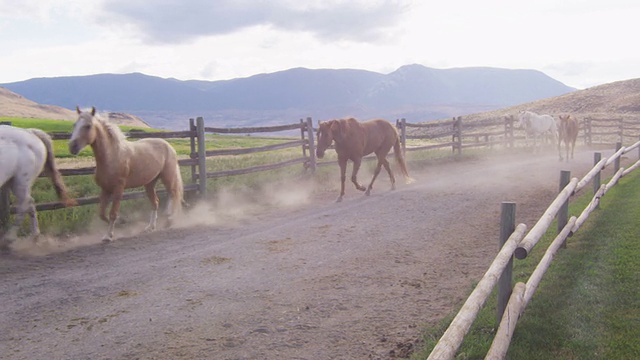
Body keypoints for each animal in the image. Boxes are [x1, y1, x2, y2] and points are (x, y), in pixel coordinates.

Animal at [69, 107, 184, 242]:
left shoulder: (118, 189)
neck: (112, 156)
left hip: (168, 178)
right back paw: (150, 227)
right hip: (150, 183)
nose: (72, 147)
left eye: (88, 126)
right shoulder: (105, 189)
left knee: (173, 195)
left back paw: (170, 220)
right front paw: (119, 223)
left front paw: (109, 236)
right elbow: (102, 214)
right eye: (75, 125)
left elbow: (112, 213)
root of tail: (169, 146)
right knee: (155, 202)